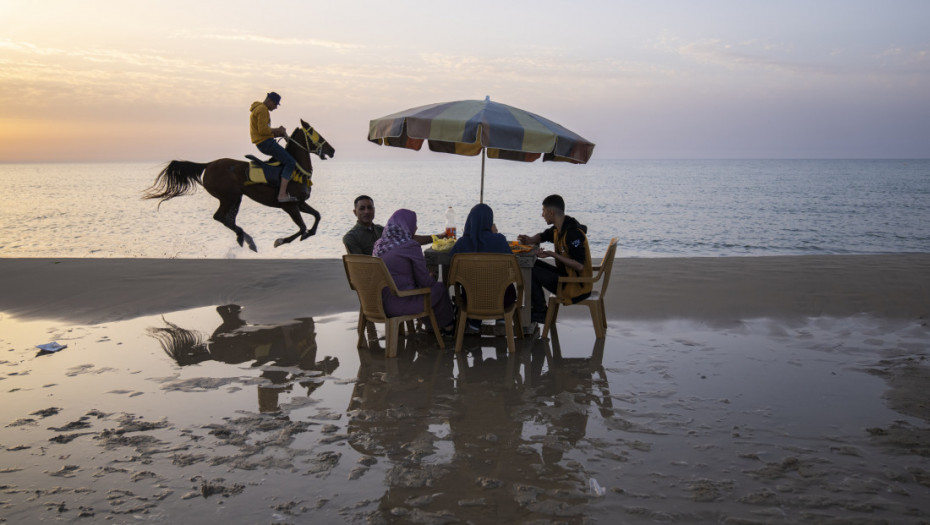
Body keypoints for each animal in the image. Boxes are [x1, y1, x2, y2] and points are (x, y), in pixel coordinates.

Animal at [145, 119, 334, 251]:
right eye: (315, 134)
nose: (331, 150)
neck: (296, 169)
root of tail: (209, 164)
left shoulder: (300, 203)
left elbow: (317, 216)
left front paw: (309, 234)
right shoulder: (289, 205)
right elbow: (302, 227)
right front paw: (280, 241)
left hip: (235, 197)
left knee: (228, 219)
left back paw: (244, 238)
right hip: (229, 196)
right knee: (220, 217)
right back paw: (247, 239)